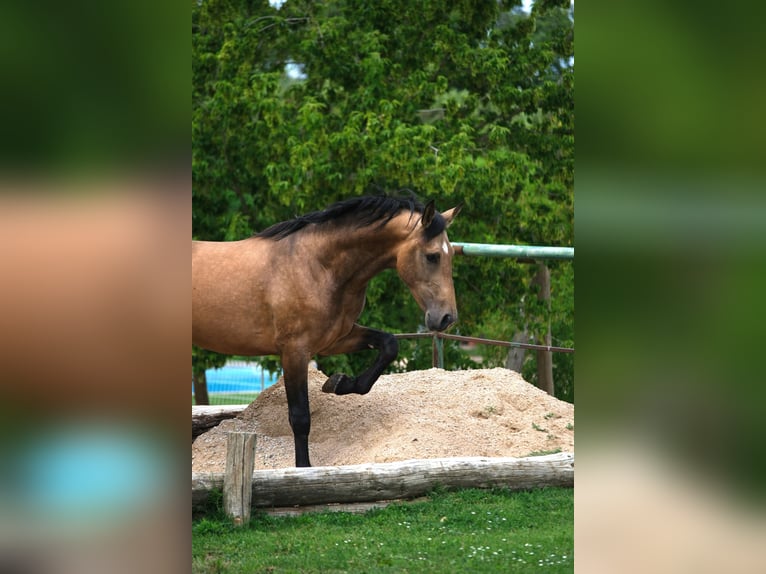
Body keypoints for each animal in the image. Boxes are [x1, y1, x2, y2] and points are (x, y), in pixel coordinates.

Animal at [195, 197, 464, 468]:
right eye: (432, 256)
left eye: (451, 254)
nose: (447, 318)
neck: (317, 267)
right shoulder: (295, 352)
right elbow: (300, 417)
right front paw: (303, 468)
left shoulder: (335, 340)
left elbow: (388, 346)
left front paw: (339, 383)